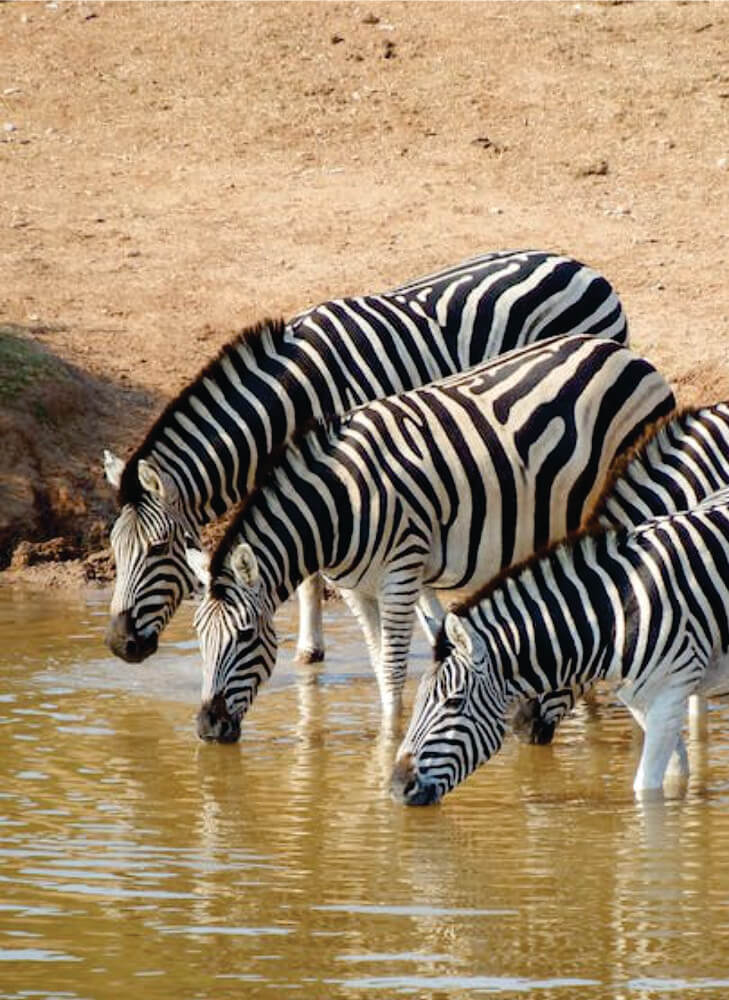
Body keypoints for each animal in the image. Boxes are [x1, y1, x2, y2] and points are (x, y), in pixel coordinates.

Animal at [185, 334, 672, 744]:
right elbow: (379, 663)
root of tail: (624, 353)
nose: (208, 727)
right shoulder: (355, 588)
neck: (338, 506)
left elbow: (393, 668)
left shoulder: (401, 572)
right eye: (199, 635)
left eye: (246, 635)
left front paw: (388, 743)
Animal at [392, 488, 729, 808]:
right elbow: (675, 772)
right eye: (419, 699)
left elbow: (645, 788)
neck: (617, 610)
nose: (397, 786)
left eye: (453, 702)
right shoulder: (642, 700)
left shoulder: (669, 694)